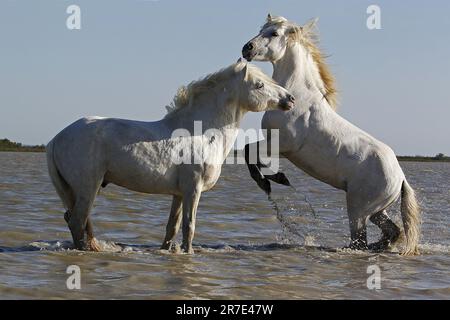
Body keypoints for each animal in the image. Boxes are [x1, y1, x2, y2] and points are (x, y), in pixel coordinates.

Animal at [46, 61, 296, 254]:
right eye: (259, 84)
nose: (290, 99)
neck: (203, 133)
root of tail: (56, 139)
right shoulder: (193, 189)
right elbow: (189, 226)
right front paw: (189, 253)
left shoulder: (179, 193)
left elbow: (172, 227)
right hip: (88, 187)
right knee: (77, 221)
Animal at [243, 15, 422, 255]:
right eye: (261, 29)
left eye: (274, 34)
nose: (247, 48)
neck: (296, 98)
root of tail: (401, 178)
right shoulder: (274, 143)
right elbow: (250, 153)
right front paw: (273, 178)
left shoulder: (282, 144)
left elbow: (250, 152)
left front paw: (274, 179)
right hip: (376, 211)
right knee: (392, 233)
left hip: (358, 209)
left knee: (361, 241)